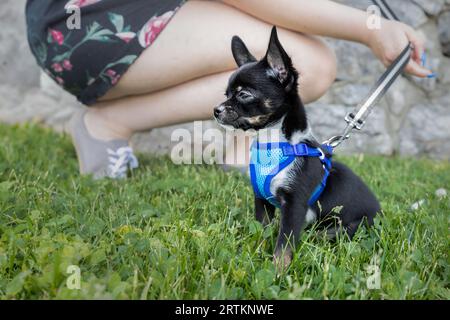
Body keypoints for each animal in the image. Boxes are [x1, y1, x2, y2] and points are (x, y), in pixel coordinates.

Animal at [214, 26, 380, 268]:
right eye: (226, 94)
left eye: (244, 94)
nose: (216, 110)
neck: (272, 144)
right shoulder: (261, 200)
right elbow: (262, 230)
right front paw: (256, 253)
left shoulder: (294, 206)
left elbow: (284, 244)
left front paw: (278, 270)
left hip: (349, 227)